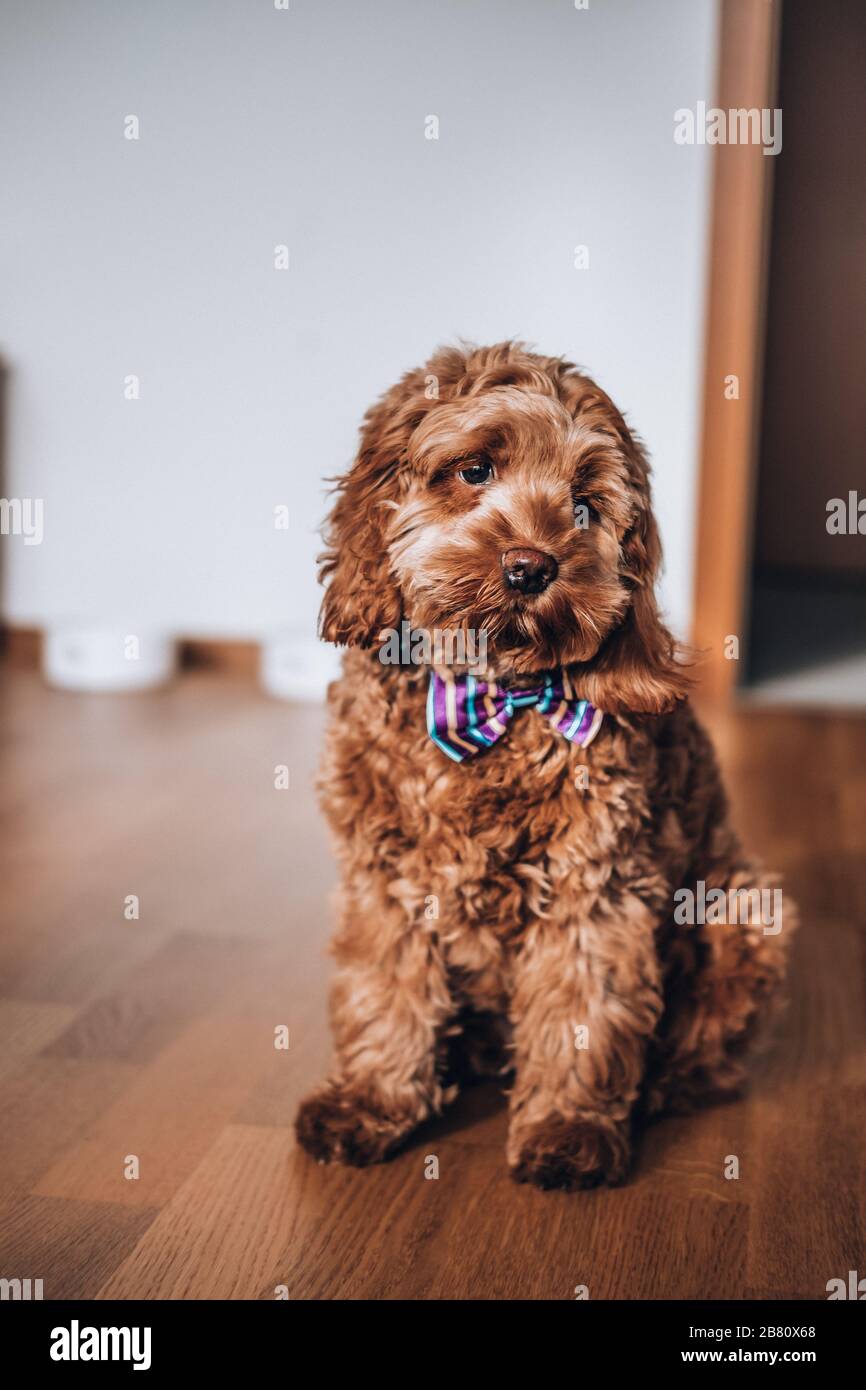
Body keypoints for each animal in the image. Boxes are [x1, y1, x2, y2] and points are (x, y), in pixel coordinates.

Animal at [294, 341, 795, 1189]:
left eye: (586, 506)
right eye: (474, 470)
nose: (530, 566)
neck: (492, 699)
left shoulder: (595, 888)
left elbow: (582, 1013)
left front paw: (569, 1129)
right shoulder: (384, 882)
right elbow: (384, 992)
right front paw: (371, 1101)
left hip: (746, 909)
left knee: (708, 1049)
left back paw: (664, 1083)